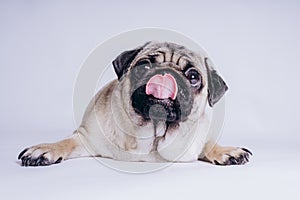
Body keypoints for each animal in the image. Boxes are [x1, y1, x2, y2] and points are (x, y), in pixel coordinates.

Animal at [18, 41, 251, 166]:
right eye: (144, 66)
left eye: (193, 77)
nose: (165, 73)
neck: (153, 137)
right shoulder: (86, 137)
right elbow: (66, 142)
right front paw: (45, 149)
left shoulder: (197, 142)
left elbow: (208, 144)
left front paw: (227, 151)